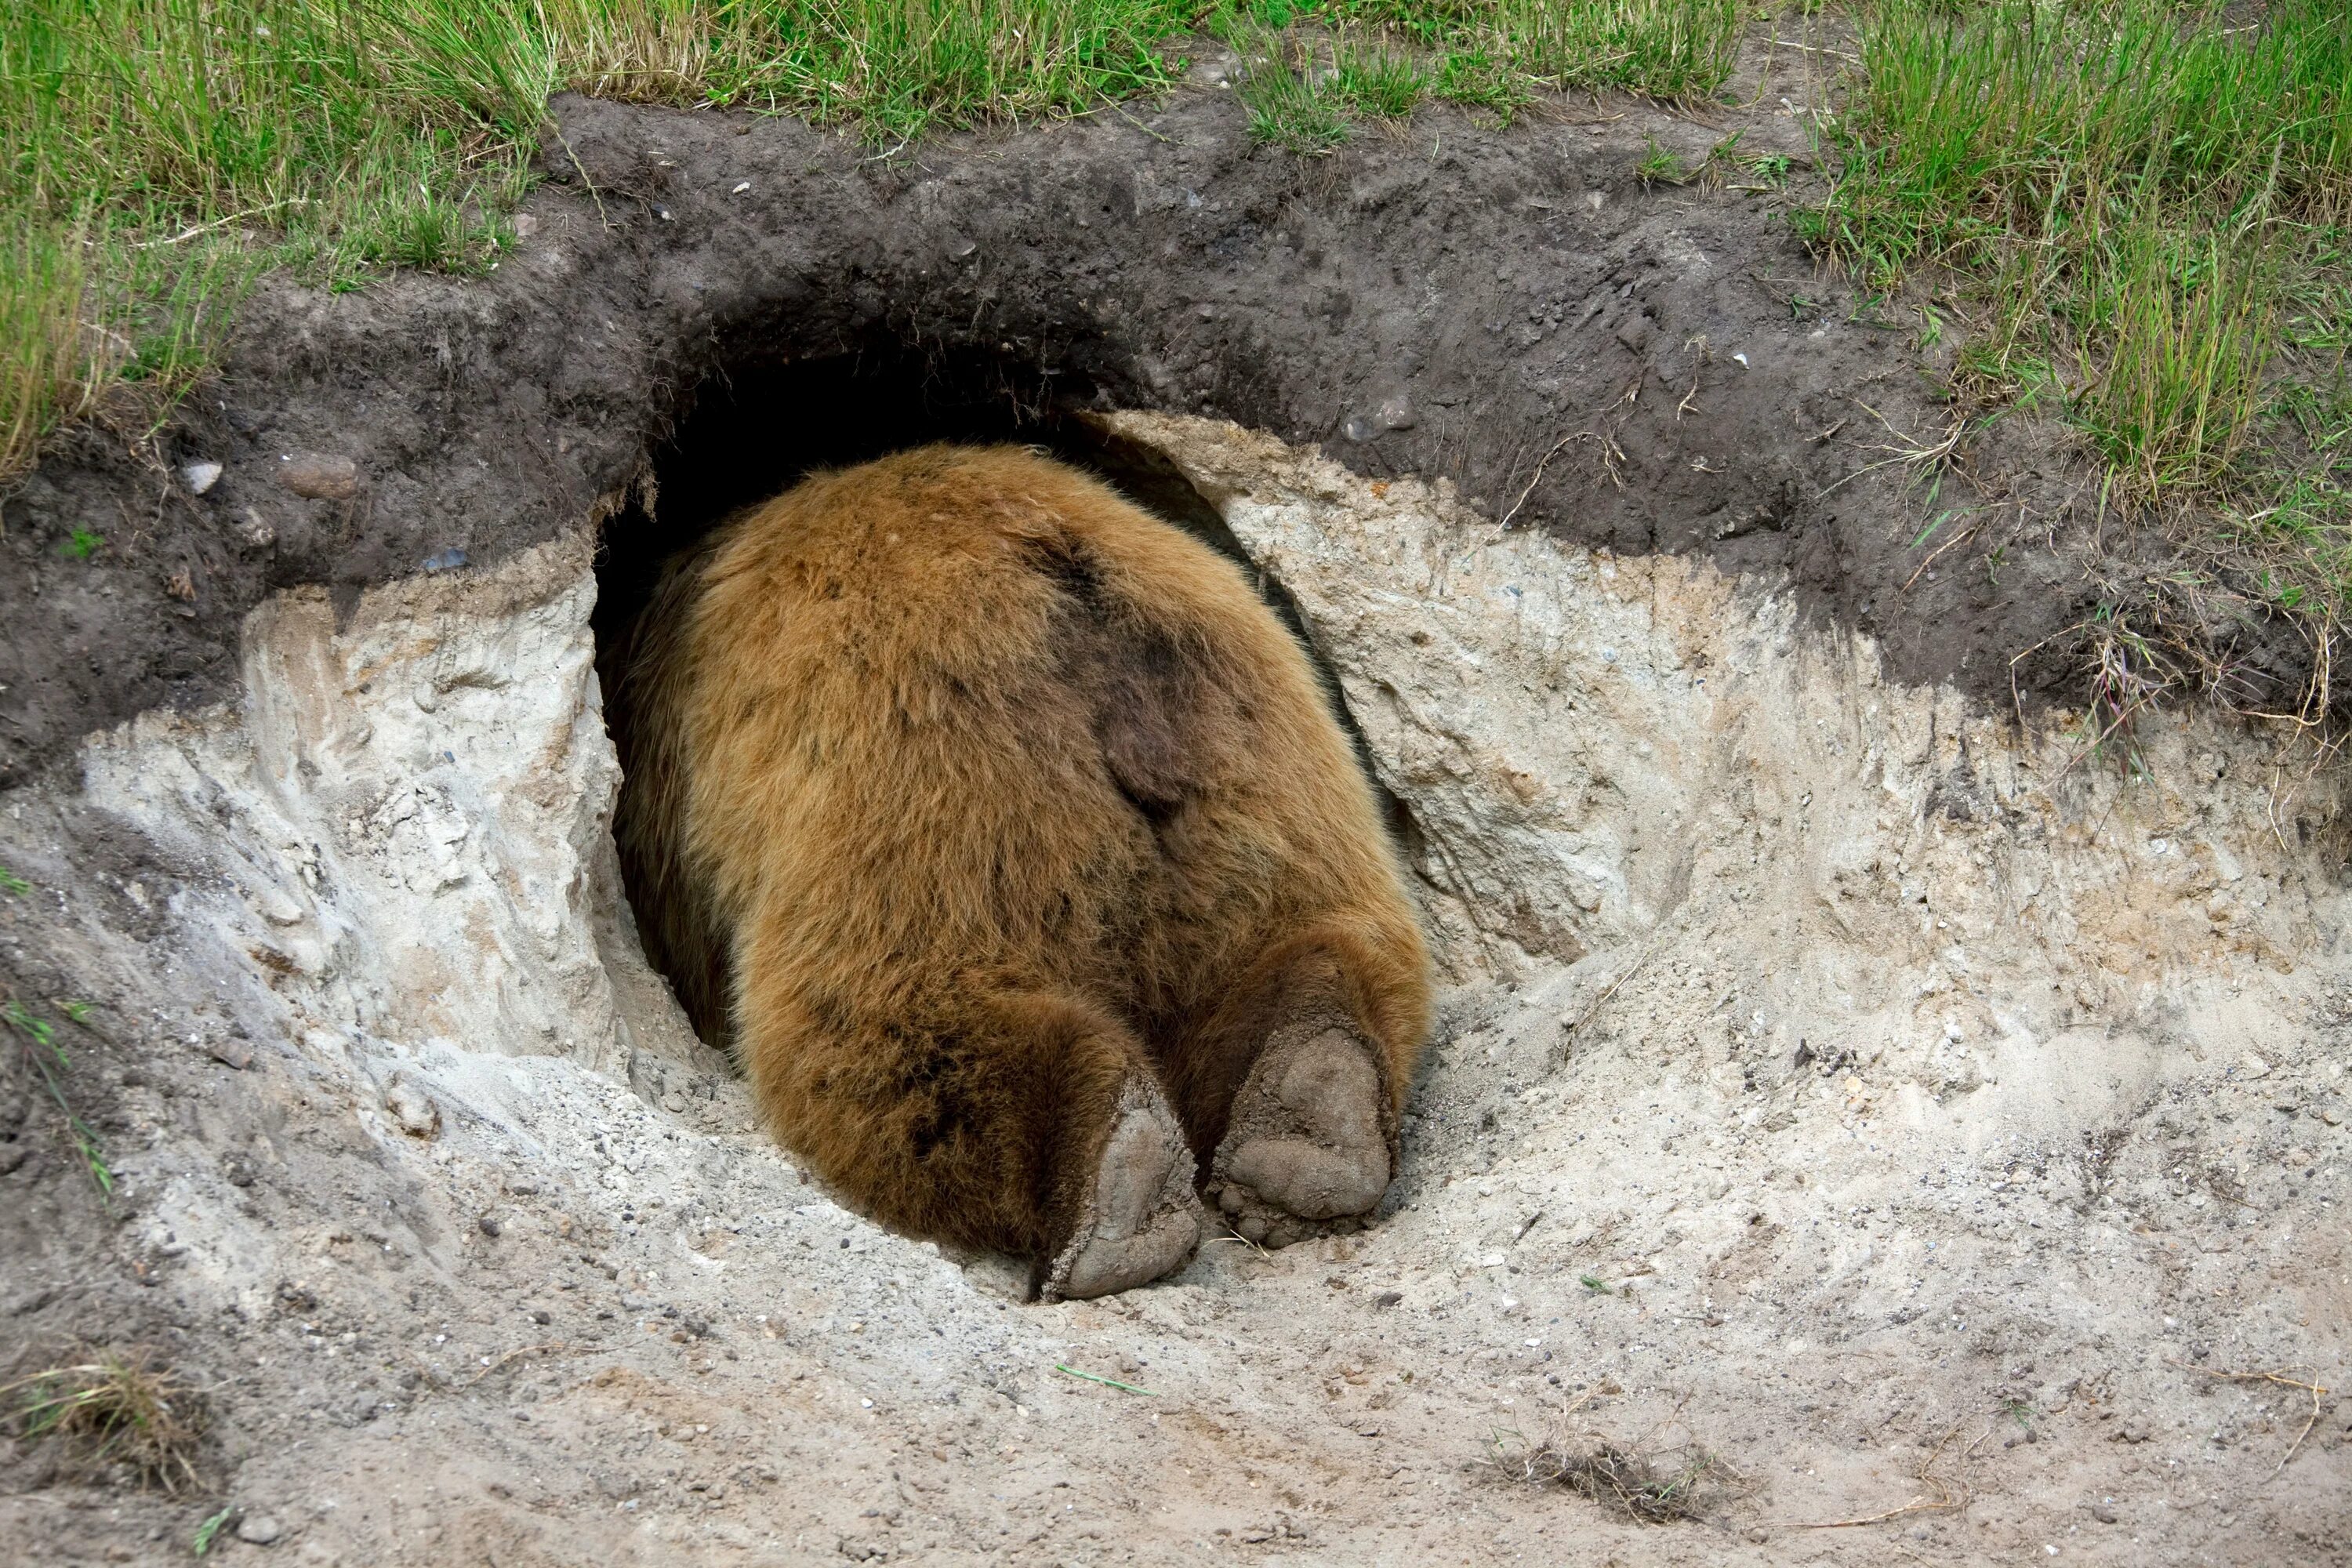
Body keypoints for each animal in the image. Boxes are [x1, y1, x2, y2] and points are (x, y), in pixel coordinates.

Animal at [607, 441, 1430, 1298]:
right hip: (1267, 781)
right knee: (1313, 938)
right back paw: (1308, 1119)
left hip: (930, 783)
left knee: (882, 1019)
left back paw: (1120, 1181)